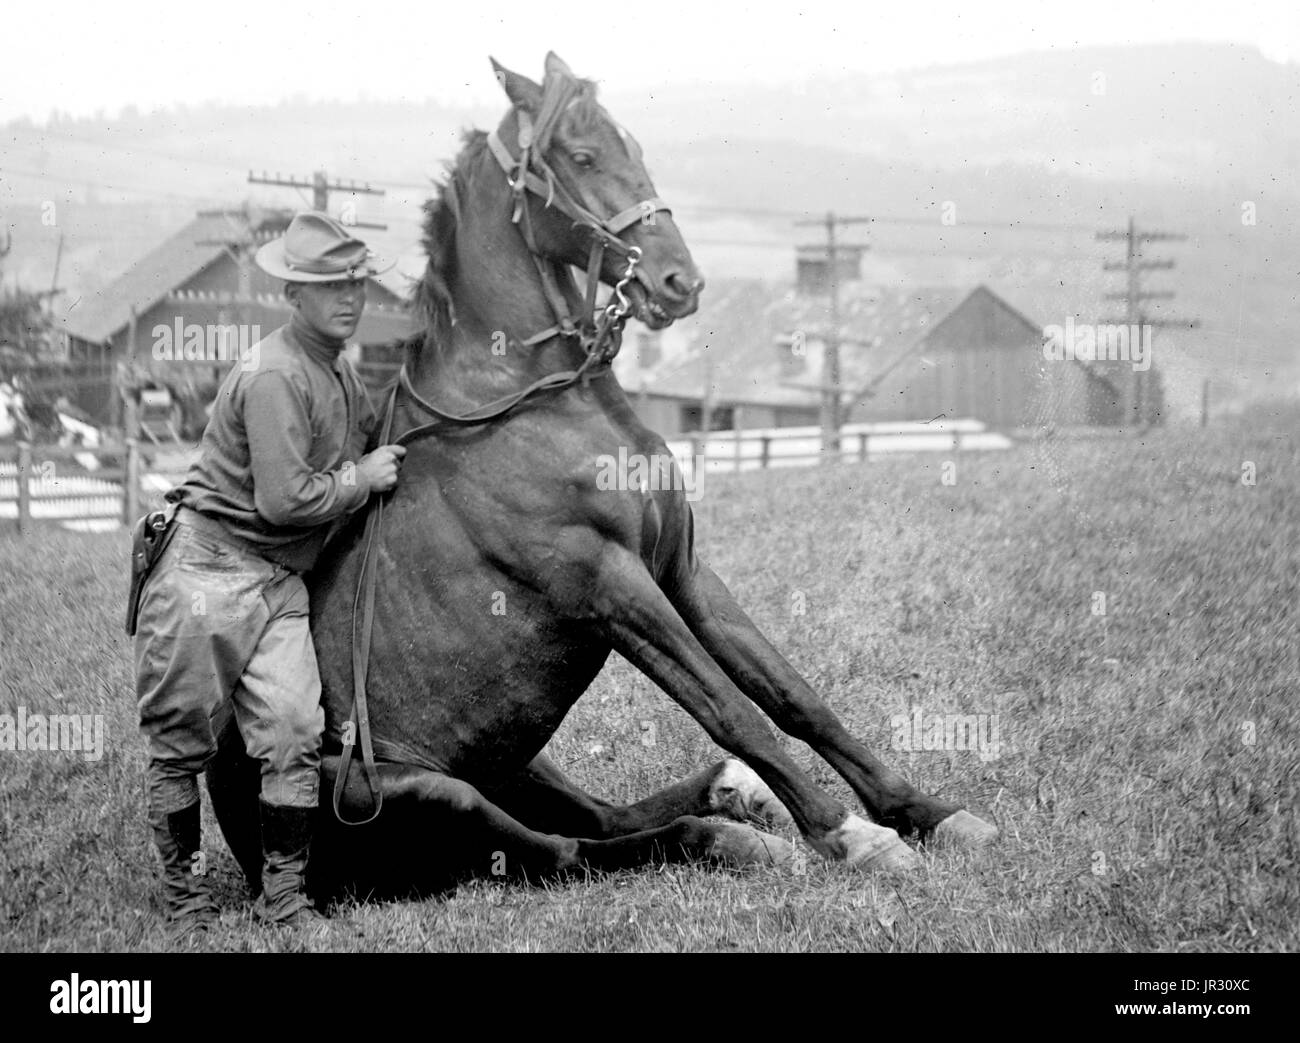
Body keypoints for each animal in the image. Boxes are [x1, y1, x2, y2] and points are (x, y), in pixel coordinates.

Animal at [205, 52, 993, 899]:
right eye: (581, 157)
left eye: (632, 145)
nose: (681, 281)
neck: (529, 400)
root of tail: (253, 844)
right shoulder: (610, 585)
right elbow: (730, 706)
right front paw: (850, 834)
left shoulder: (681, 570)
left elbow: (791, 695)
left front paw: (927, 812)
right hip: (436, 795)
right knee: (568, 851)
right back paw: (732, 836)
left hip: (518, 762)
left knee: (601, 818)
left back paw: (734, 794)